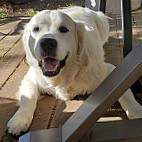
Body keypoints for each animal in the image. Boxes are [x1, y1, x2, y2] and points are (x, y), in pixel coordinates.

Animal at [7, 6, 142, 135]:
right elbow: (28, 97)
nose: (47, 43)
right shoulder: (30, 77)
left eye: (64, 29)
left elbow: (125, 92)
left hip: (103, 21)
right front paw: (19, 120)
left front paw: (135, 111)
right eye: (36, 29)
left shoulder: (109, 70)